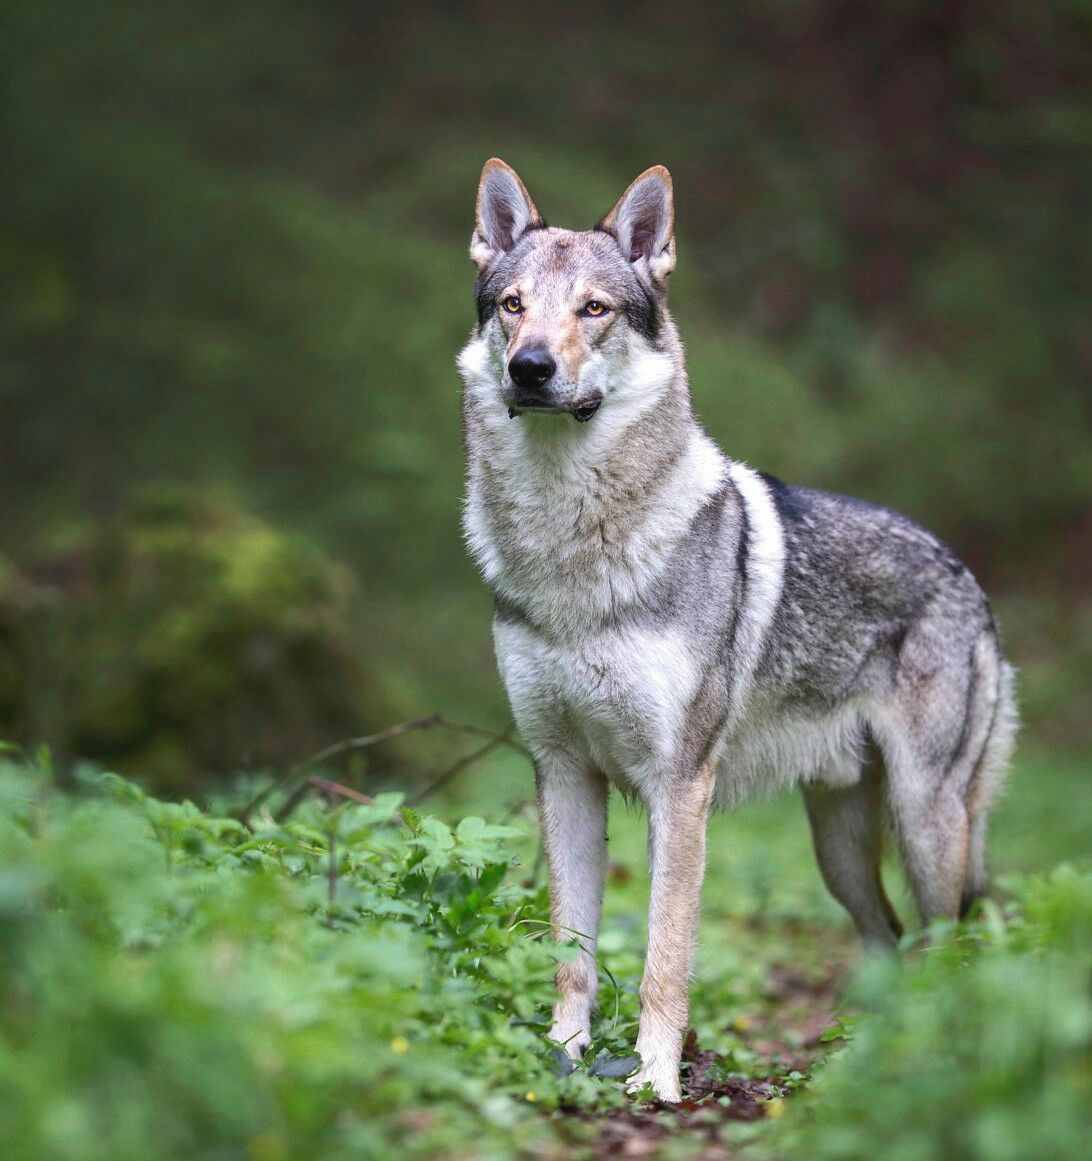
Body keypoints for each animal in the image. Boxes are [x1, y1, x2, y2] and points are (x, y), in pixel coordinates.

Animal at [457, 159, 1018, 1102]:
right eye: (513, 304)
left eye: (594, 309)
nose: (530, 368)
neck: (572, 554)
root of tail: (967, 575)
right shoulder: (562, 773)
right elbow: (572, 949)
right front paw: (564, 1060)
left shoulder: (680, 789)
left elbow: (664, 954)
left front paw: (654, 1080)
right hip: (839, 845)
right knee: (888, 937)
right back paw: (865, 1058)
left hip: (926, 821)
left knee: (949, 942)